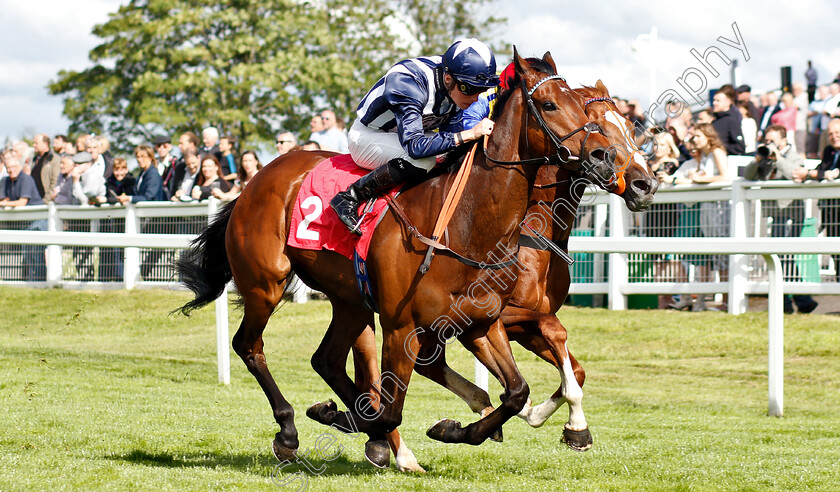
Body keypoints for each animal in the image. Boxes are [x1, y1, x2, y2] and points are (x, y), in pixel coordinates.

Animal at [176, 50, 616, 468]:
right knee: (249, 346)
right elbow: (391, 410)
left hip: (350, 301)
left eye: (581, 106)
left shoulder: (482, 322)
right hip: (266, 284)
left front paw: (451, 429)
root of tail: (255, 181)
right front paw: (349, 419)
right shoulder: (402, 326)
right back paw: (289, 431)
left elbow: (515, 392)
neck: (465, 225)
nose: (603, 155)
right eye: (549, 104)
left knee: (326, 360)